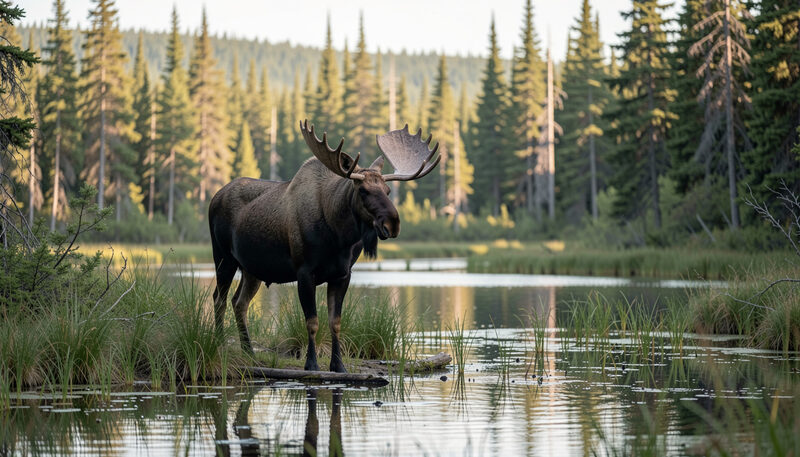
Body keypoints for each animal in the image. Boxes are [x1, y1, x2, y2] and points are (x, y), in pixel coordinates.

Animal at [208, 120, 440, 372]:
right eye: (362, 190)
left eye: (388, 191)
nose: (392, 223)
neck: (338, 237)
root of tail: (214, 197)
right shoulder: (304, 271)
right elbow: (312, 321)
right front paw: (311, 364)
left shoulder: (342, 274)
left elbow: (335, 322)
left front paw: (338, 365)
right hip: (223, 257)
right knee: (219, 299)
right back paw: (219, 344)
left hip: (252, 269)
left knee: (239, 303)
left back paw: (248, 352)